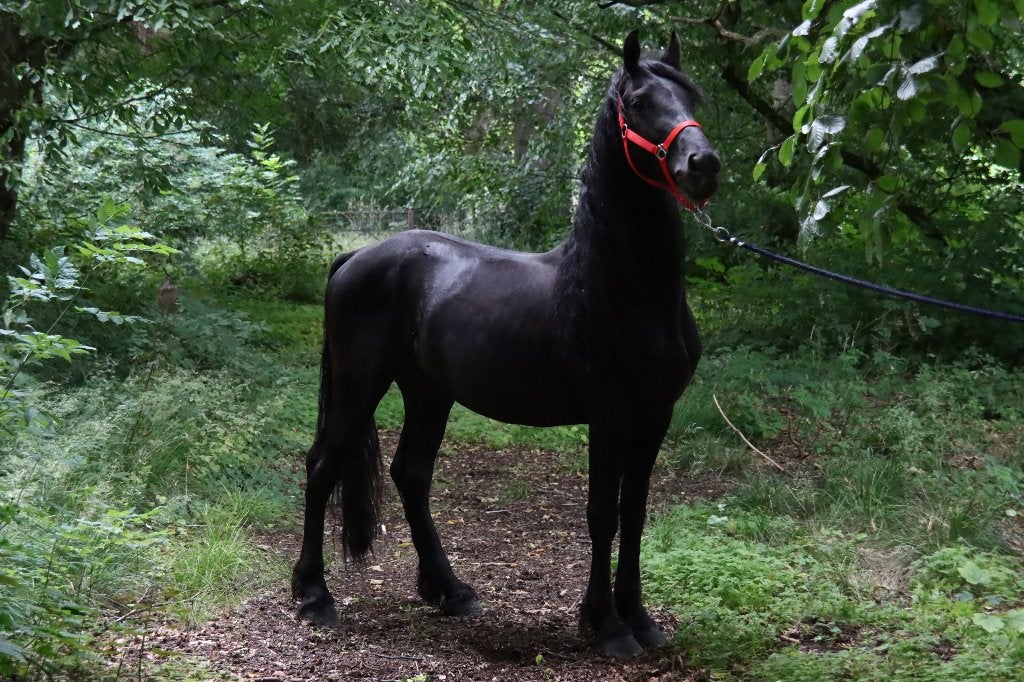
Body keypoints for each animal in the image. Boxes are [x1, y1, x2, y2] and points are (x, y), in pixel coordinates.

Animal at [291, 30, 720, 658]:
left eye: (691, 97)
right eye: (640, 102)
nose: (702, 164)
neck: (620, 291)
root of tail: (356, 257)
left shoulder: (654, 416)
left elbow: (635, 513)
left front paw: (639, 619)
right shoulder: (609, 417)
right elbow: (602, 514)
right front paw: (608, 626)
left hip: (428, 393)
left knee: (410, 475)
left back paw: (450, 591)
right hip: (359, 384)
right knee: (322, 466)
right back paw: (314, 596)